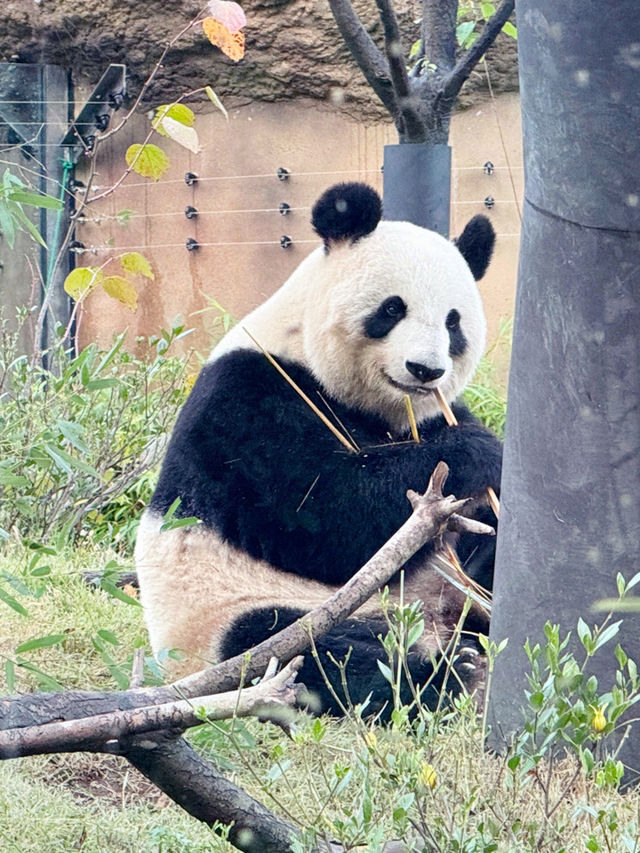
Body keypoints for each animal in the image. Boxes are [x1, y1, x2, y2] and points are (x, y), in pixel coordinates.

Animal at [135, 183, 502, 716]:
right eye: (392, 309)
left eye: (453, 323)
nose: (426, 370)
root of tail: (436, 624)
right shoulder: (247, 399)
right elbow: (320, 515)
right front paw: (476, 452)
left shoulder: (433, 412)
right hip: (233, 615)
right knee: (301, 651)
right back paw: (446, 674)